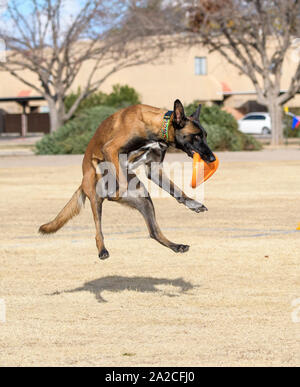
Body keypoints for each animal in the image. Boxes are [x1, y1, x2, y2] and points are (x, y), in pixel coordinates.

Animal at [39, 98, 216, 260]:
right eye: (196, 137)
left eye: (205, 136)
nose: (212, 158)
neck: (154, 126)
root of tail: (82, 183)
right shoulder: (110, 149)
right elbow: (122, 182)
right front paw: (115, 193)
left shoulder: (153, 169)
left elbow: (176, 190)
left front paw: (193, 203)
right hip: (95, 195)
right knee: (98, 230)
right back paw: (102, 249)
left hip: (144, 198)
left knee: (154, 232)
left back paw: (176, 245)